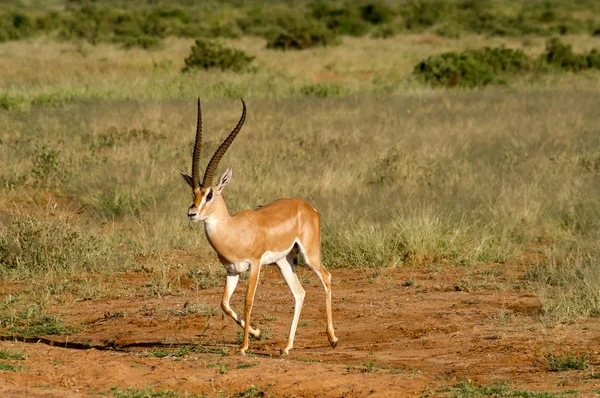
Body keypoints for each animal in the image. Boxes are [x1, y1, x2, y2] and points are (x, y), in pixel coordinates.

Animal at [179, 98, 338, 354]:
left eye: (210, 194)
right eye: (194, 193)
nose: (192, 213)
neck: (233, 230)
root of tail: (307, 207)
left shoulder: (254, 265)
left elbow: (247, 300)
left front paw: (244, 346)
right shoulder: (232, 270)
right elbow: (224, 303)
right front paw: (257, 333)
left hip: (309, 255)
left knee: (326, 277)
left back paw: (332, 338)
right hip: (284, 261)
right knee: (299, 292)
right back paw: (286, 347)